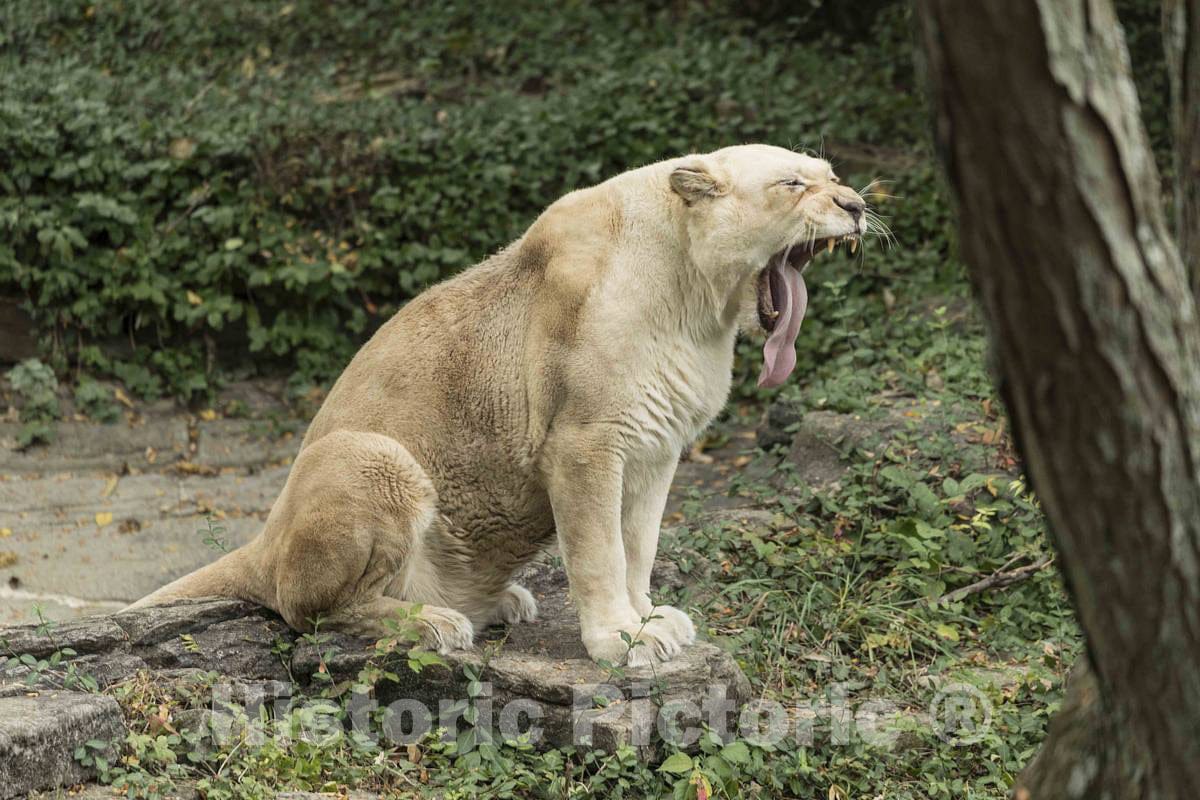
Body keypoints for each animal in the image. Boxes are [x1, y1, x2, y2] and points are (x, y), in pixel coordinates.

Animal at [131, 144, 868, 666]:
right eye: (794, 184)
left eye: (833, 173)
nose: (858, 205)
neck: (697, 302)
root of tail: (267, 537)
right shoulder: (584, 442)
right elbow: (600, 551)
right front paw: (619, 640)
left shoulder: (656, 446)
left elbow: (639, 543)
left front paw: (652, 619)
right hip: (371, 456)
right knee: (304, 607)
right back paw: (437, 622)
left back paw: (501, 601)